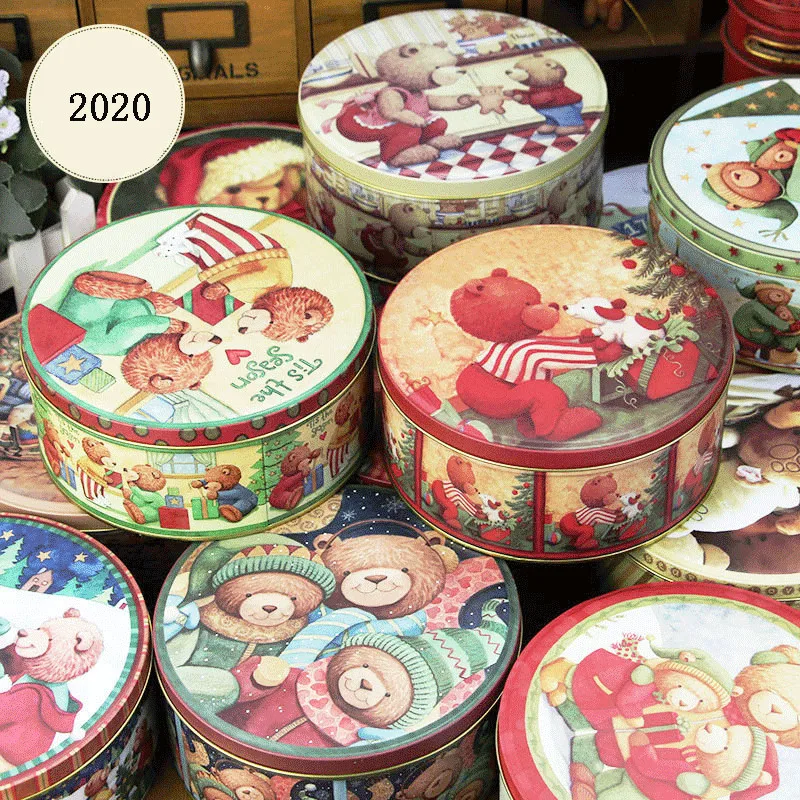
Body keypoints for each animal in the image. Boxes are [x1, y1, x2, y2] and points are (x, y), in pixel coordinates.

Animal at [335, 43, 479, 167]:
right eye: (438, 67)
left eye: (453, 64)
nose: (462, 71)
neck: (413, 91)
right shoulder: (392, 94)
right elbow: (392, 111)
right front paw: (416, 119)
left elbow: (442, 102)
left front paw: (466, 99)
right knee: (404, 137)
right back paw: (412, 153)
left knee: (438, 124)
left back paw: (441, 140)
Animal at [449, 268, 604, 442]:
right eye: (528, 303)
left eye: (538, 299)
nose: (554, 305)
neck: (510, 339)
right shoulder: (533, 348)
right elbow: (567, 354)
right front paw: (604, 350)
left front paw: (587, 336)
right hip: (498, 399)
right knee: (545, 396)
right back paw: (575, 422)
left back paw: (529, 429)